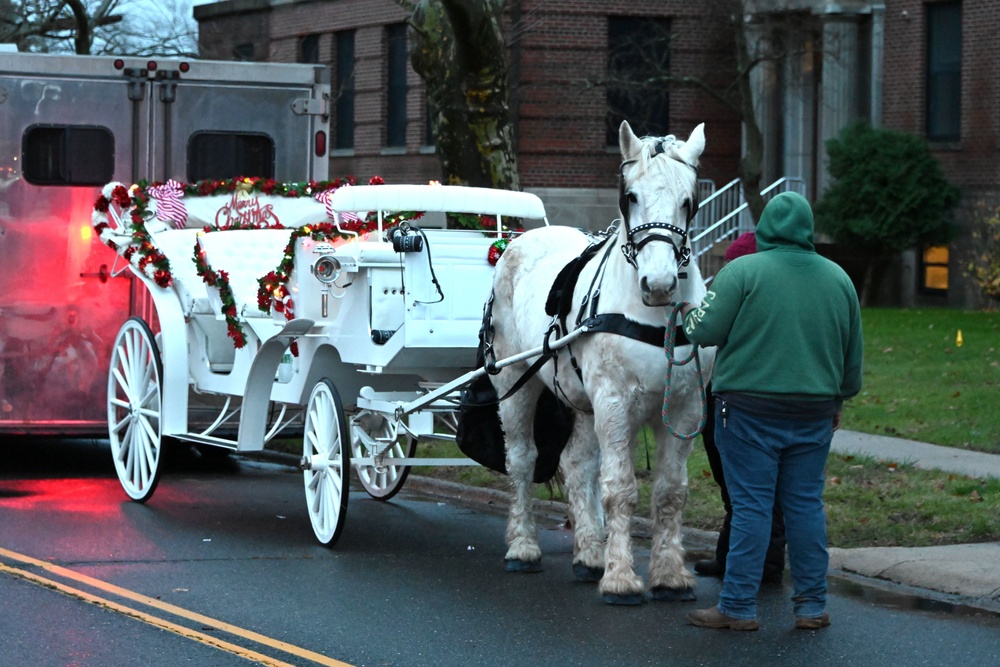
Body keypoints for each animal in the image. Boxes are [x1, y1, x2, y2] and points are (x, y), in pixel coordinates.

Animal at [488, 121, 716, 604]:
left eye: (688, 201)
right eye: (631, 196)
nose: (659, 283)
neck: (653, 318)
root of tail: (517, 242)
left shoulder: (684, 407)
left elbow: (670, 493)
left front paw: (669, 574)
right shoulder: (614, 403)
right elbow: (620, 490)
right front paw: (621, 578)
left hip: (580, 398)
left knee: (576, 464)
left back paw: (589, 553)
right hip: (515, 380)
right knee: (522, 459)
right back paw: (522, 545)